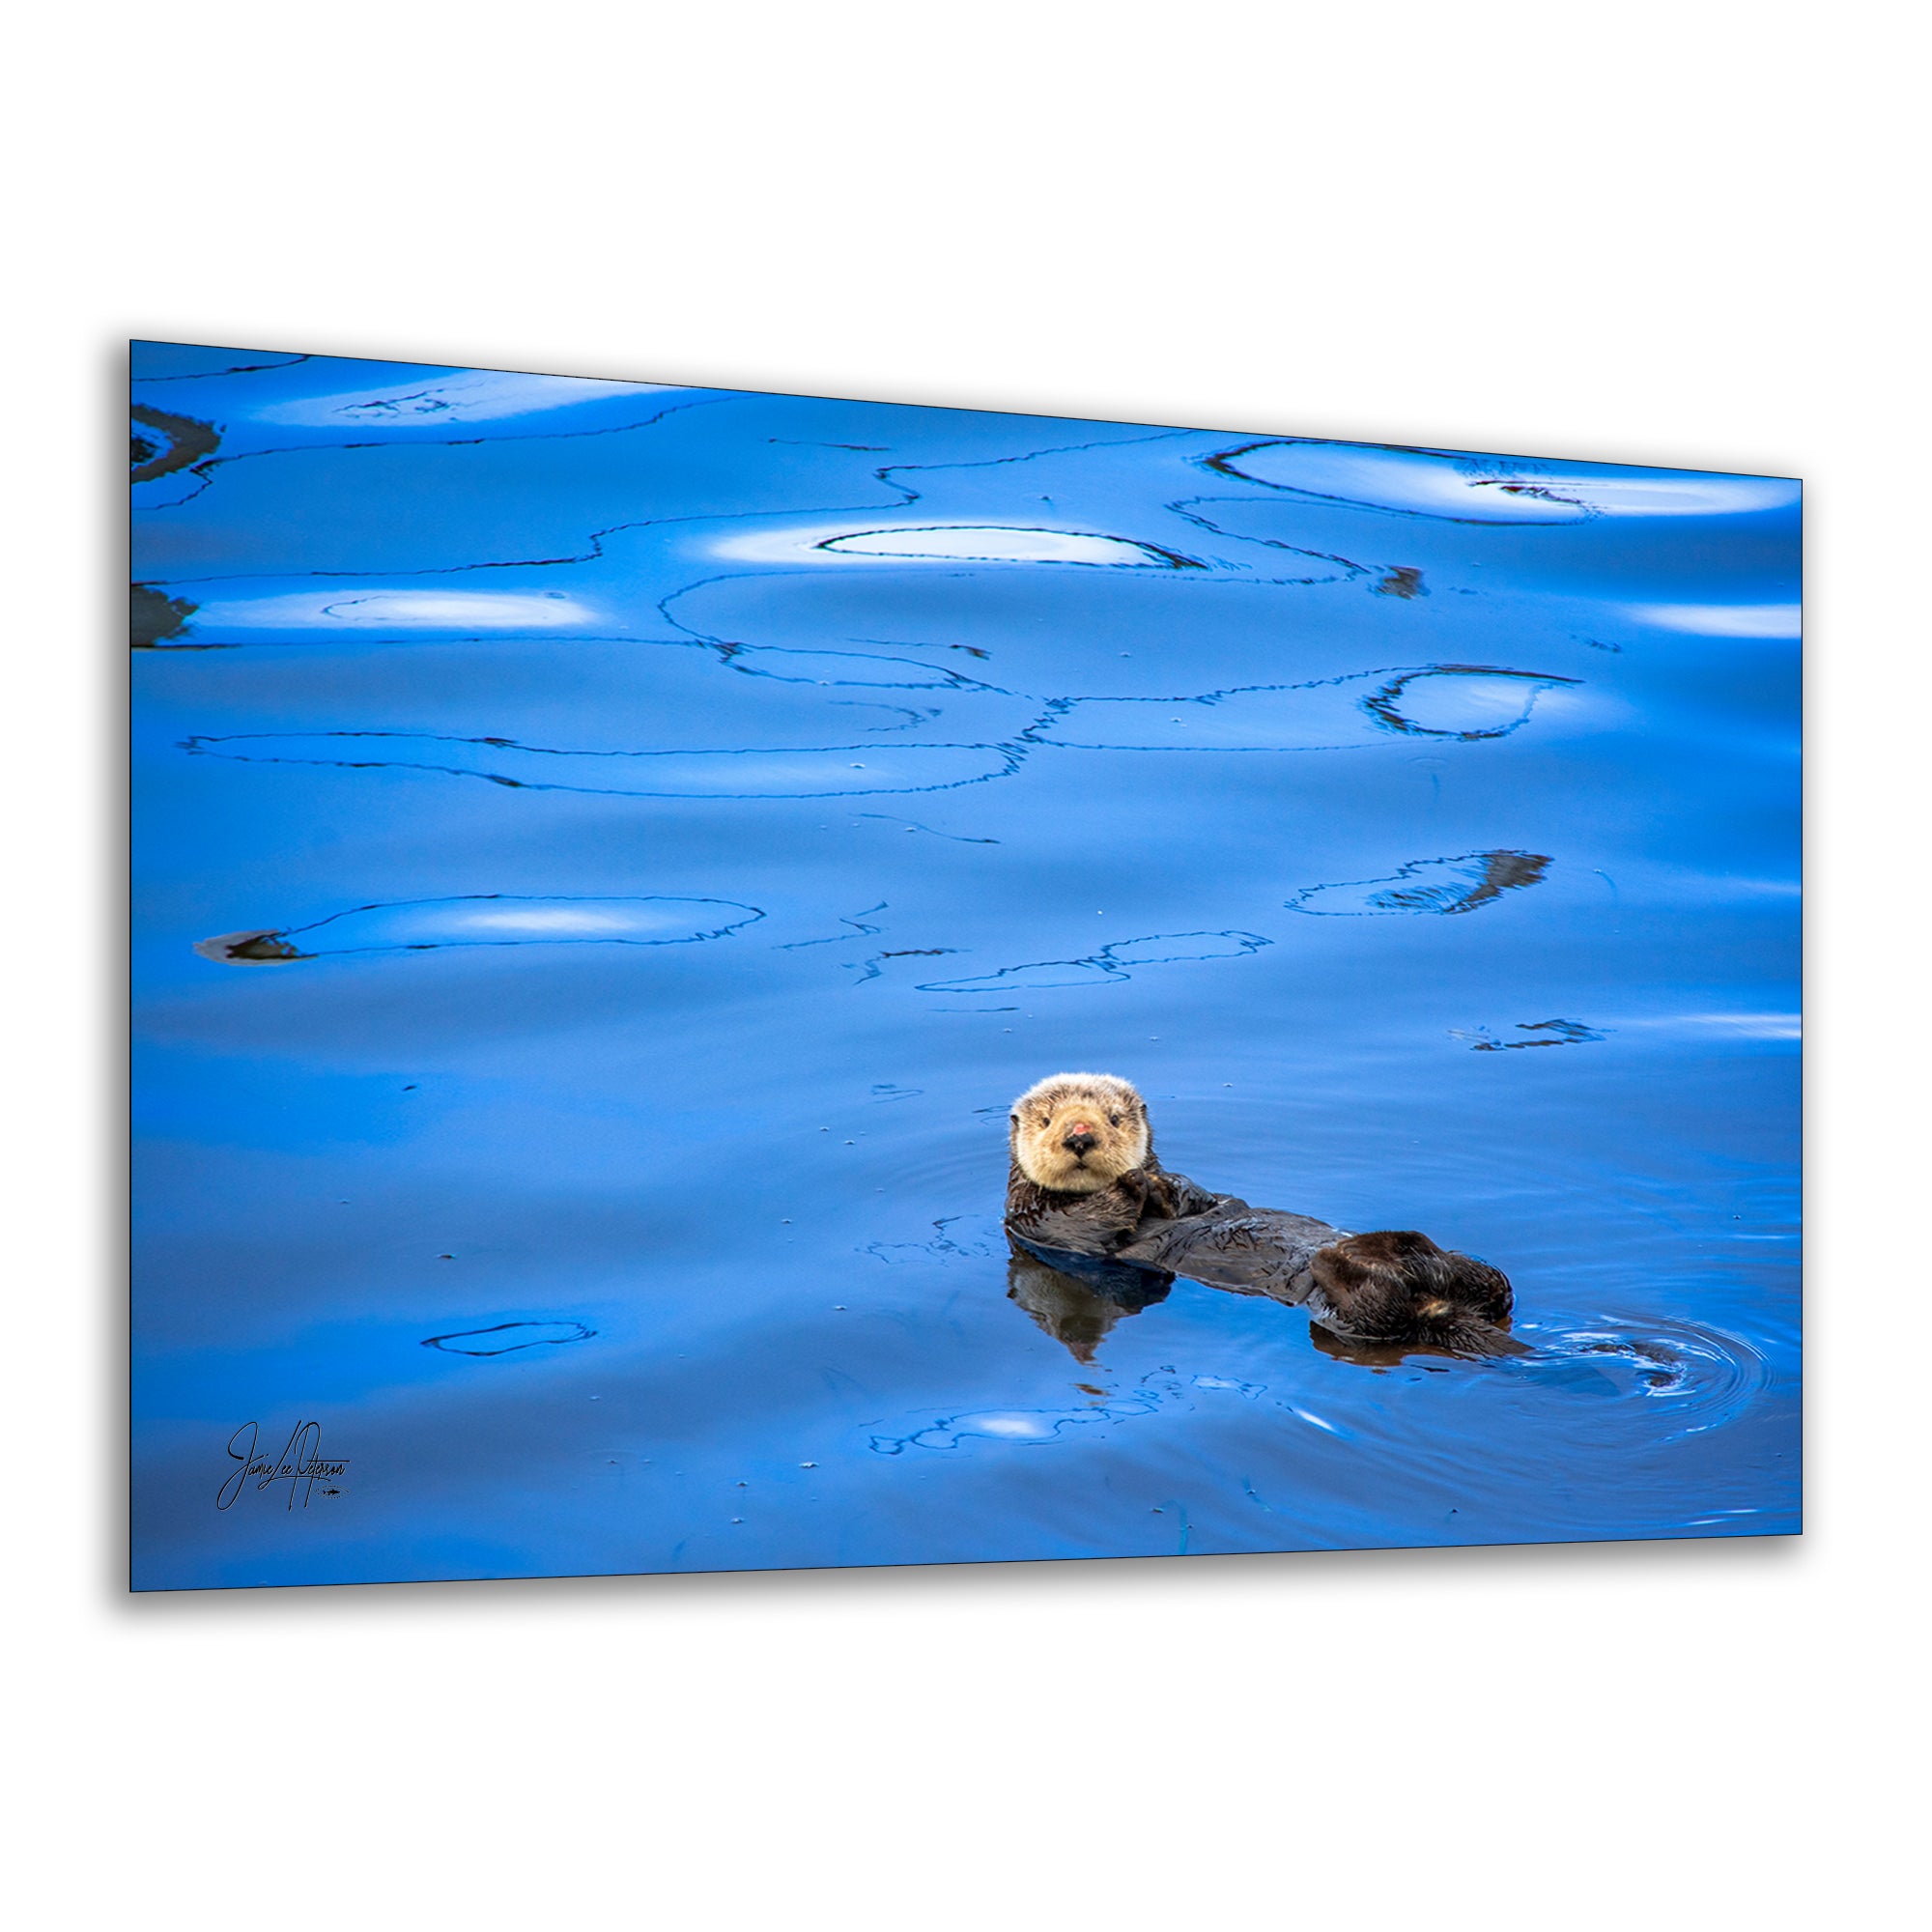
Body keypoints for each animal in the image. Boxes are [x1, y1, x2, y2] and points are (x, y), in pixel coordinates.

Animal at [1004, 1071, 1518, 1357]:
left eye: (1113, 1118)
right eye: (1047, 1121)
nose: (1080, 1135)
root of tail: (1435, 1308)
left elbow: (1200, 1197)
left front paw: (1165, 1186)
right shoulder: (1034, 1221)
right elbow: (1089, 1224)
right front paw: (1131, 1184)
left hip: (1460, 1284)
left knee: (1493, 1285)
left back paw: (1390, 1245)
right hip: (1349, 1320)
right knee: (1380, 1307)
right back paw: (1350, 1258)